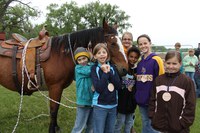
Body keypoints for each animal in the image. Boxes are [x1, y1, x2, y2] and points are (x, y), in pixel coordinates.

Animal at [0, 18, 128, 132]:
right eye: (112, 43)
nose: (125, 69)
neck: (60, 55)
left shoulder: (59, 89)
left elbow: (56, 108)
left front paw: (56, 127)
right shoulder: (55, 88)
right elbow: (53, 110)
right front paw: (52, 130)